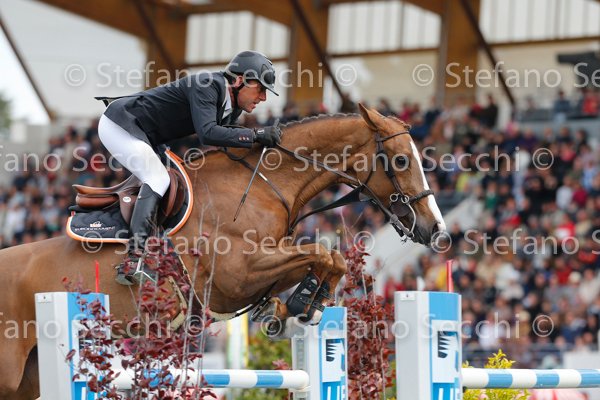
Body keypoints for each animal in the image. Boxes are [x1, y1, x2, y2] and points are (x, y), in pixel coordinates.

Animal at [0, 104, 446, 399]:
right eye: (401, 160)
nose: (436, 230)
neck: (266, 186)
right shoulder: (235, 278)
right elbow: (320, 252)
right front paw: (301, 303)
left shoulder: (264, 264)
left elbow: (327, 257)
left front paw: (297, 306)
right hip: (11, 368)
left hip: (27, 377)